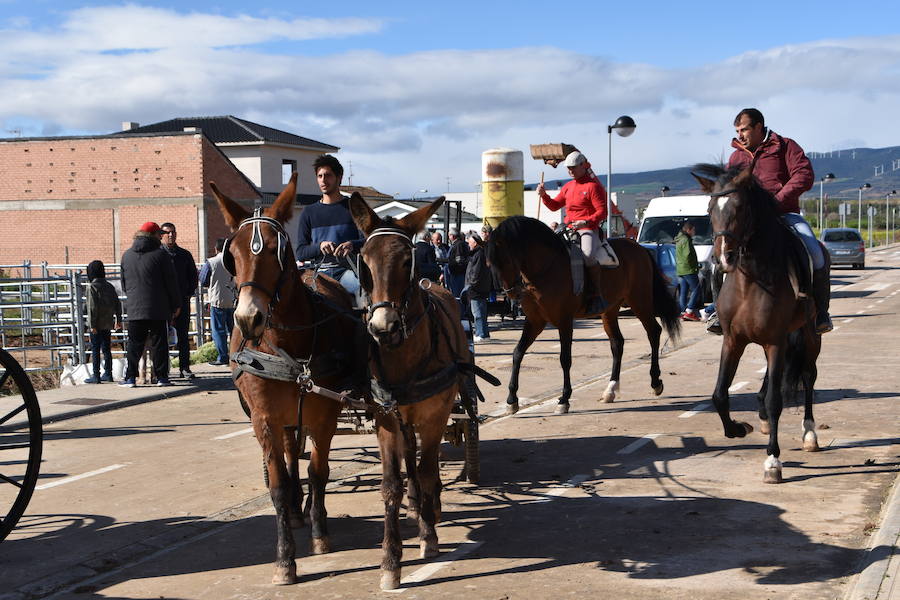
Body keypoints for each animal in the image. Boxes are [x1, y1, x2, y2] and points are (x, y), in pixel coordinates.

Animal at [212, 172, 366, 580]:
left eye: (273, 251)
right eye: (232, 256)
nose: (248, 319)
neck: (286, 344)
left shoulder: (324, 413)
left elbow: (319, 471)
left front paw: (320, 532)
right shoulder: (264, 417)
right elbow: (279, 482)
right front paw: (285, 558)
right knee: (288, 453)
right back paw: (296, 510)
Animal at [346, 193, 472, 592]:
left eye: (406, 260)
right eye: (365, 261)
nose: (382, 327)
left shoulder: (435, 415)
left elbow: (429, 470)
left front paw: (429, 536)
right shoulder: (385, 419)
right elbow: (391, 485)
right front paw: (390, 562)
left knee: (424, 465)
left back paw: (429, 511)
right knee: (410, 460)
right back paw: (417, 506)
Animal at [488, 218, 680, 414]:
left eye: (505, 260)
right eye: (489, 264)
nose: (510, 293)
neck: (546, 268)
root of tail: (639, 247)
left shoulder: (564, 321)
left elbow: (565, 359)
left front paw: (564, 399)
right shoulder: (535, 321)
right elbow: (517, 353)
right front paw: (512, 399)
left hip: (639, 301)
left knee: (653, 332)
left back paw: (655, 382)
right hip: (610, 310)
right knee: (617, 343)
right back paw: (610, 389)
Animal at [692, 164, 828, 482]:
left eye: (740, 208)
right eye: (709, 210)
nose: (723, 258)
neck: (749, 282)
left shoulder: (775, 341)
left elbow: (776, 400)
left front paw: (773, 462)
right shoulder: (733, 340)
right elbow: (719, 395)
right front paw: (739, 428)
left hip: (809, 335)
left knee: (808, 376)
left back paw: (809, 434)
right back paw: (763, 420)